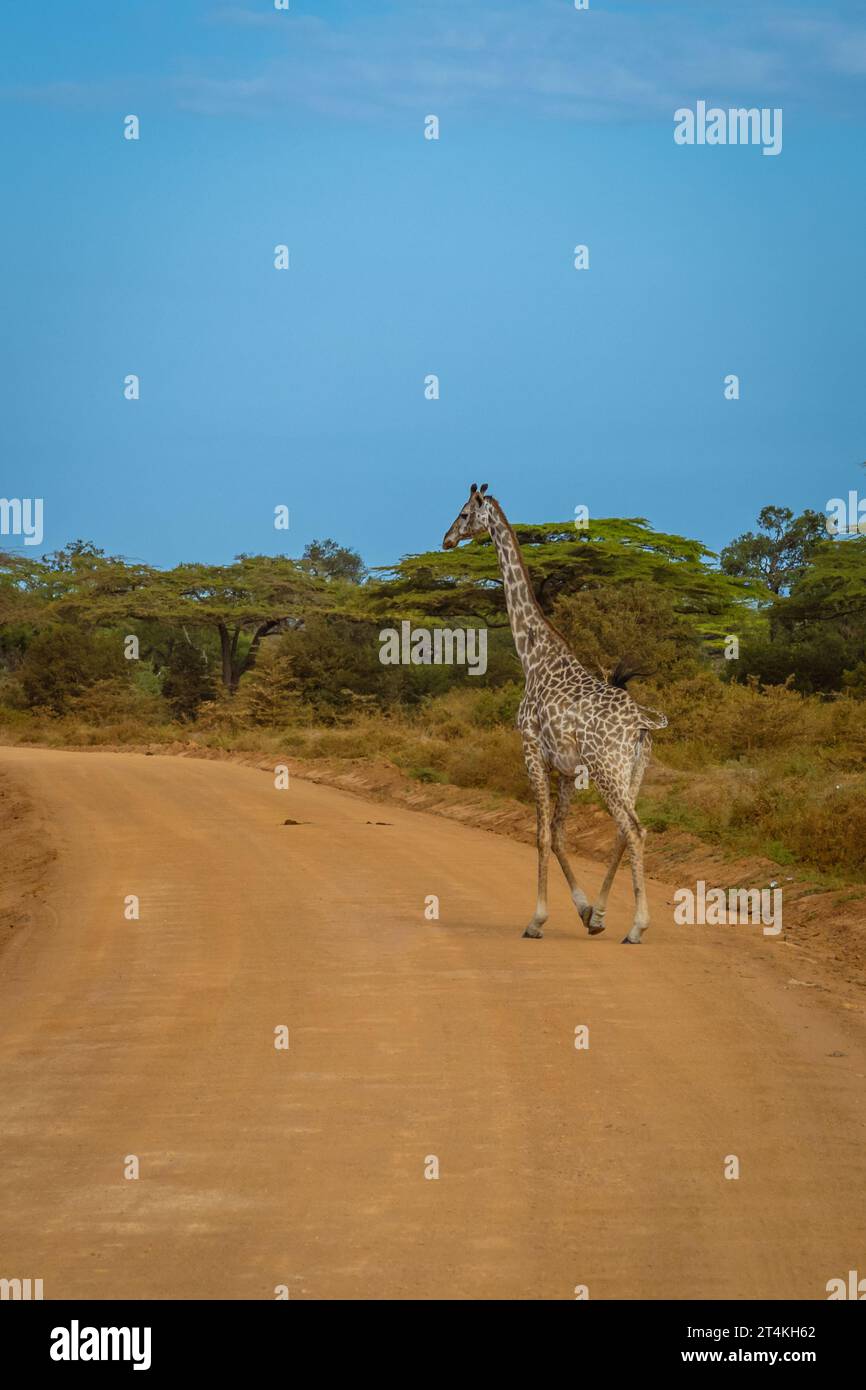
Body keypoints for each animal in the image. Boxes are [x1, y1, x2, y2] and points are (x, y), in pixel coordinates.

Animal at [444, 486, 667, 945]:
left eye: (463, 513)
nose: (446, 540)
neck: (533, 657)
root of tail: (642, 724)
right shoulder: (566, 768)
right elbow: (561, 835)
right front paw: (587, 914)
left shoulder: (530, 748)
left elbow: (542, 833)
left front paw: (537, 920)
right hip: (633, 770)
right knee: (625, 831)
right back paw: (607, 915)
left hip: (606, 768)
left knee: (634, 829)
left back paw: (637, 927)